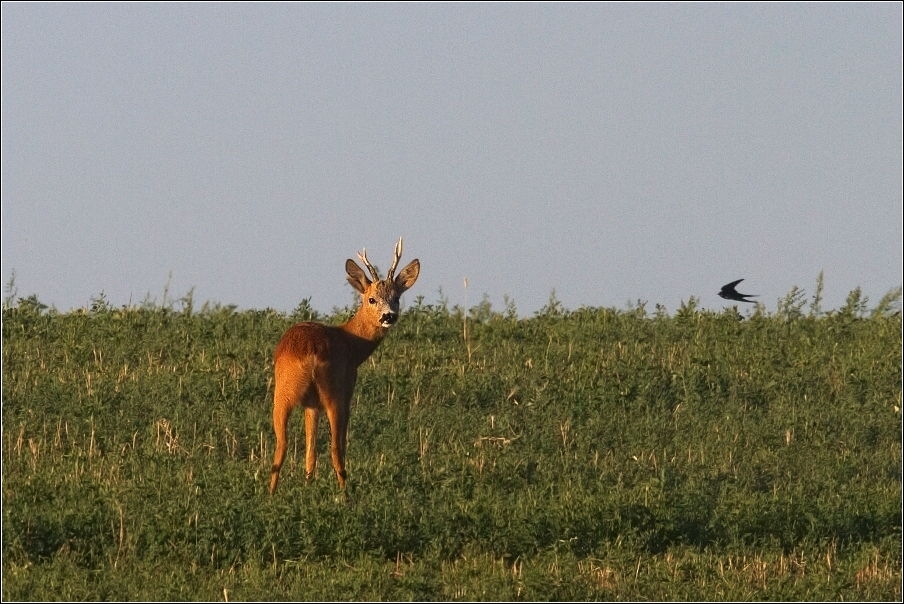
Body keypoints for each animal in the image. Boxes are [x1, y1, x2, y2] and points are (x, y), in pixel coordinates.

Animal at [268, 236, 420, 496]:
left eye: (396, 297)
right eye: (371, 299)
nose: (388, 316)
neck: (351, 344)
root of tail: (311, 351)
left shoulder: (311, 402)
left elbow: (310, 446)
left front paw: (309, 482)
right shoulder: (348, 387)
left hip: (284, 390)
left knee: (282, 445)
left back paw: (270, 494)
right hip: (334, 392)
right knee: (335, 448)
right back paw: (346, 495)